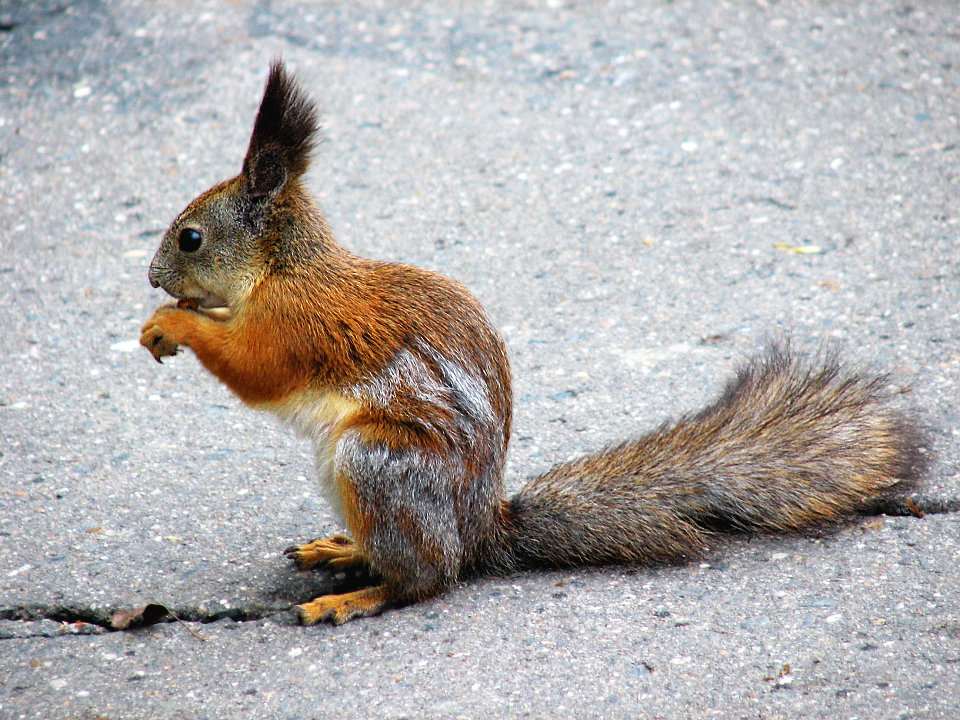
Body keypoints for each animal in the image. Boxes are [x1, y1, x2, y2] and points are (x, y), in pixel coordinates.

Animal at [137, 62, 924, 624]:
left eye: (191, 238)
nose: (150, 275)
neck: (284, 267)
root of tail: (482, 531)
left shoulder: (298, 323)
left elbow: (256, 367)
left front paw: (170, 324)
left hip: (380, 463)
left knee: (428, 579)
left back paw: (356, 596)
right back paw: (344, 549)